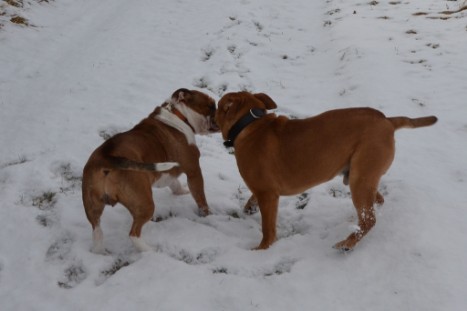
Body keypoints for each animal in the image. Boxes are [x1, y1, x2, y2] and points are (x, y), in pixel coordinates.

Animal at [82, 89, 218, 255]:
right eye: (211, 106)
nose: (219, 111)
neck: (179, 115)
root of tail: (107, 158)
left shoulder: (168, 172)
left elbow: (174, 183)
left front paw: (182, 191)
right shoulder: (194, 170)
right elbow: (200, 197)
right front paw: (208, 214)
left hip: (92, 206)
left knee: (97, 231)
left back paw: (99, 251)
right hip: (145, 203)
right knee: (133, 233)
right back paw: (150, 250)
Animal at [216, 91, 438, 252]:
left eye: (218, 106)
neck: (251, 123)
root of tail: (388, 120)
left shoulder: (267, 195)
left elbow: (267, 230)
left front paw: (262, 250)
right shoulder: (264, 191)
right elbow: (253, 197)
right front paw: (249, 207)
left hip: (360, 179)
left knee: (369, 219)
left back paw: (347, 244)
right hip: (363, 177)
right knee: (376, 203)